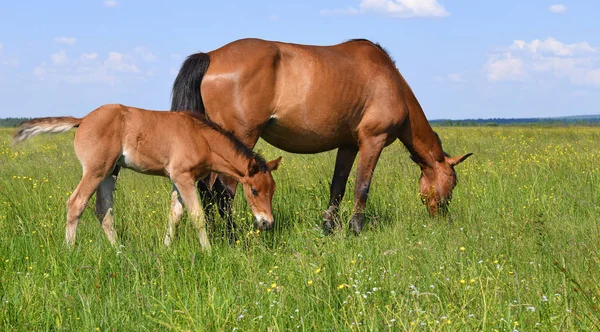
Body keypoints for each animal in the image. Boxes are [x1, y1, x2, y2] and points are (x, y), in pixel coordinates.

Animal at [14, 103, 282, 249]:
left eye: (273, 190)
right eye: (254, 190)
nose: (267, 224)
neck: (201, 137)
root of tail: (82, 120)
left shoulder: (178, 179)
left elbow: (175, 214)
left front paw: (165, 248)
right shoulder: (184, 177)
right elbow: (196, 215)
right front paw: (208, 251)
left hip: (110, 173)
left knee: (103, 211)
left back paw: (119, 250)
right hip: (95, 170)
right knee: (76, 203)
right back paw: (69, 248)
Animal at [171, 37, 472, 233]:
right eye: (453, 183)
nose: (441, 216)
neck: (391, 82)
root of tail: (210, 56)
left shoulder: (348, 145)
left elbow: (338, 186)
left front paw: (329, 226)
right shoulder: (372, 142)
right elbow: (362, 186)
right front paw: (355, 228)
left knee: (207, 190)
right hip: (240, 138)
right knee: (223, 192)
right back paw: (231, 234)